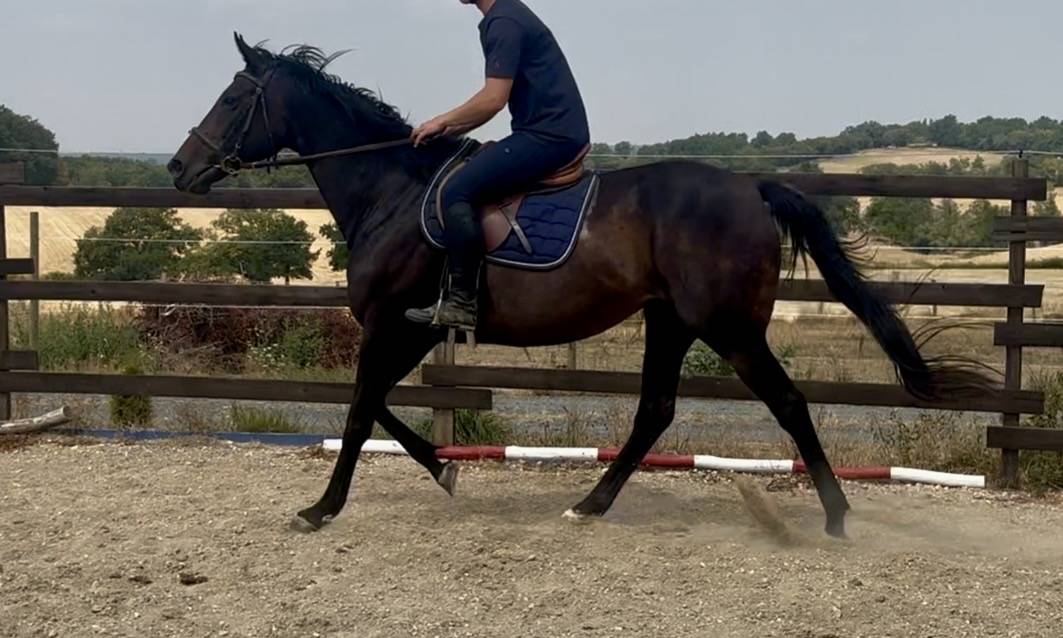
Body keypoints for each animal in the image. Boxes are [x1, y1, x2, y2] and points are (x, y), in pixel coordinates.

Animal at [169, 35, 990, 538]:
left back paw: (836, 518)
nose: (180, 168)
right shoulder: (414, 331)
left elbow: (360, 407)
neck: (391, 192)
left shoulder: (393, 324)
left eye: (235, 98)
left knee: (785, 403)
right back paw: (589, 505)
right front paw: (443, 470)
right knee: (655, 412)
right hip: (670, 320)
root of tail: (750, 188)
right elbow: (377, 408)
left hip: (727, 326)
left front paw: (321, 508)